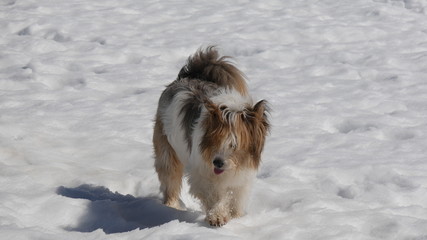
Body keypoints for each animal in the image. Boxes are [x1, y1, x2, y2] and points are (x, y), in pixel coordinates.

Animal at [152, 46, 270, 227]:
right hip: (167, 149)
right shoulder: (202, 174)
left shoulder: (242, 179)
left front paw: (235, 216)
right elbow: (214, 196)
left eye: (234, 145)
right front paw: (217, 216)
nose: (218, 162)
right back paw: (171, 206)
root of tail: (186, 77)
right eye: (215, 140)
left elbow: (236, 199)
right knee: (170, 179)